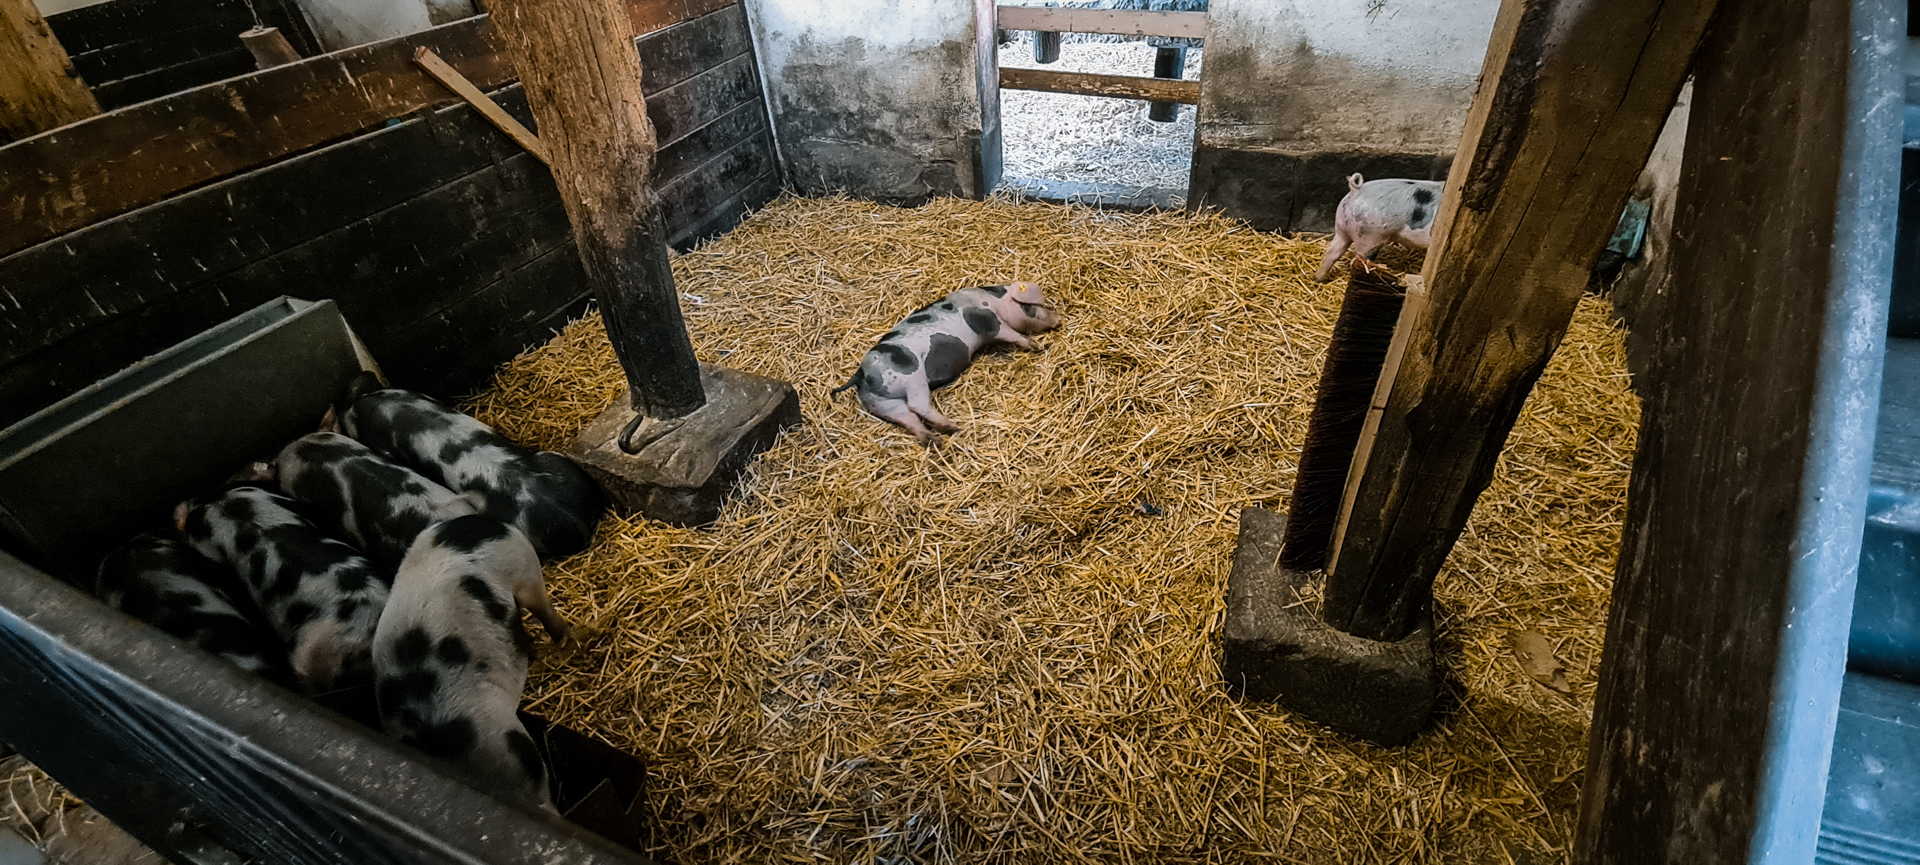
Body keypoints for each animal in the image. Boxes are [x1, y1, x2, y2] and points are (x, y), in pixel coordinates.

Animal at [831, 281, 1063, 445]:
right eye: (1030, 307)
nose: (1058, 319)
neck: (992, 300)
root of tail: (861, 374)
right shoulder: (988, 322)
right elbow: (1011, 334)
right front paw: (1036, 346)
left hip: (880, 402)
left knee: (907, 417)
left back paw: (935, 440)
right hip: (912, 376)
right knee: (918, 406)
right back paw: (955, 428)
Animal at [1314, 174, 1445, 282]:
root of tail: (1356, 191)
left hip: (1342, 228)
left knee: (1332, 253)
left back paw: (1318, 279)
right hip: (1369, 237)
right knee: (1359, 261)